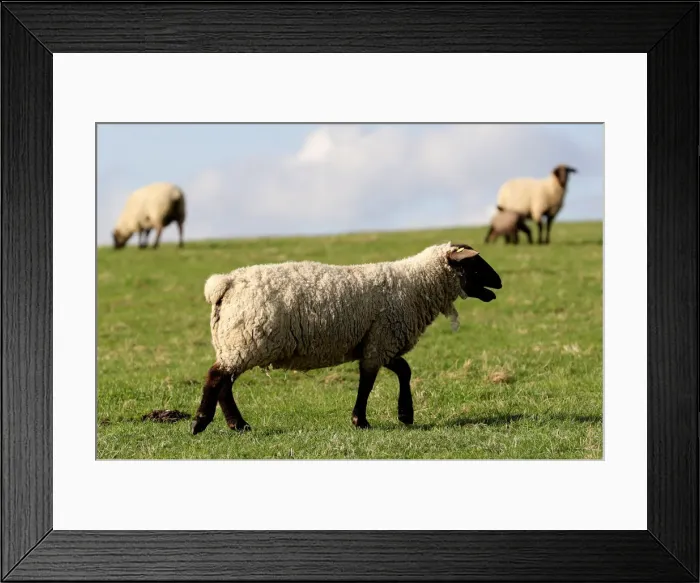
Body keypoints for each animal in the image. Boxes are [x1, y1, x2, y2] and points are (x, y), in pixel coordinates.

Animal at [191, 242, 502, 435]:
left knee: (224, 384)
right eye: (476, 265)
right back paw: (200, 423)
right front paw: (361, 421)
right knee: (216, 377)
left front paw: (405, 414)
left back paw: (237, 424)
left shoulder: (378, 342)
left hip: (235, 344)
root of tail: (225, 283)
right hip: (246, 341)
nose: (499, 282)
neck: (417, 285)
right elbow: (368, 383)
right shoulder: (381, 340)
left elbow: (403, 370)